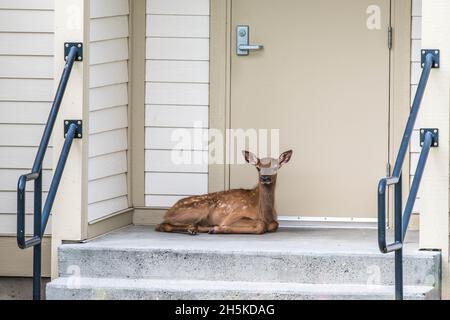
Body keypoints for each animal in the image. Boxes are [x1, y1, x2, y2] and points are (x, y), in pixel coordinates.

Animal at [156, 150, 294, 235]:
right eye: (258, 168)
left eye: (276, 167)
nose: (265, 178)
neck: (264, 213)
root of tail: (169, 211)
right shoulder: (233, 215)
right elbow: (261, 225)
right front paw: (219, 228)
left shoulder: (273, 220)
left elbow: (274, 224)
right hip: (198, 210)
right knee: (162, 225)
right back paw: (199, 229)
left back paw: (198, 228)